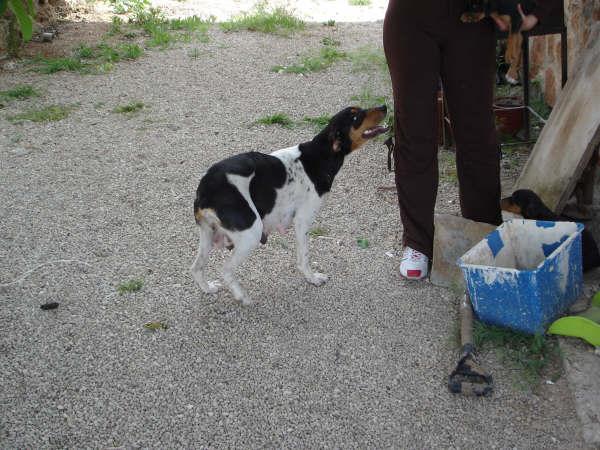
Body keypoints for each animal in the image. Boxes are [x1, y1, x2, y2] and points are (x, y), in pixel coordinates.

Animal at [192, 105, 390, 304]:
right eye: (356, 116)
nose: (384, 107)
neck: (319, 156)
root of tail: (205, 189)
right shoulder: (303, 221)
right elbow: (304, 258)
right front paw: (312, 278)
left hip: (208, 235)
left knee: (196, 267)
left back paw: (208, 288)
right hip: (251, 234)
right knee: (225, 270)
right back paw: (243, 297)